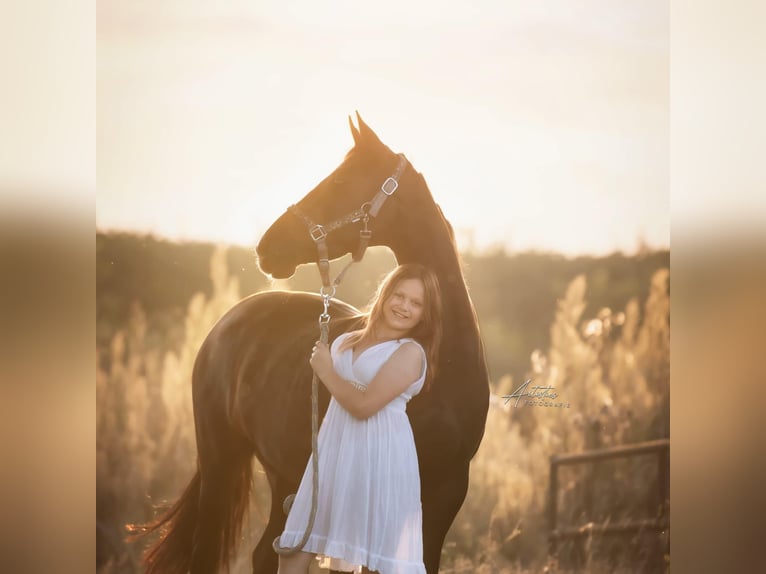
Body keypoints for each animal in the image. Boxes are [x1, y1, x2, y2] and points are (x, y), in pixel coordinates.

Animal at [139, 114, 490, 574]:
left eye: (339, 182)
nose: (266, 247)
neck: (443, 369)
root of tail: (230, 321)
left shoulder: (444, 497)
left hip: (284, 475)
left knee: (266, 551)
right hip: (221, 459)